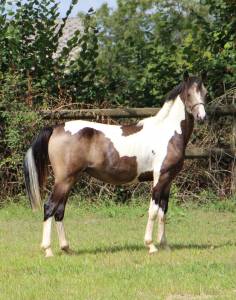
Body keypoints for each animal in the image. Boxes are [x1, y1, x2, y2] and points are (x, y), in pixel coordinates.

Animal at [23, 71, 206, 256]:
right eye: (189, 94)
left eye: (204, 92)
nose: (202, 117)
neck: (167, 132)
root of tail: (56, 128)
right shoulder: (159, 178)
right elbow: (153, 211)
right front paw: (151, 245)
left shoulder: (168, 180)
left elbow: (163, 212)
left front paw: (165, 245)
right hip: (64, 179)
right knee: (49, 207)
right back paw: (48, 250)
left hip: (69, 180)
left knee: (59, 210)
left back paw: (66, 248)